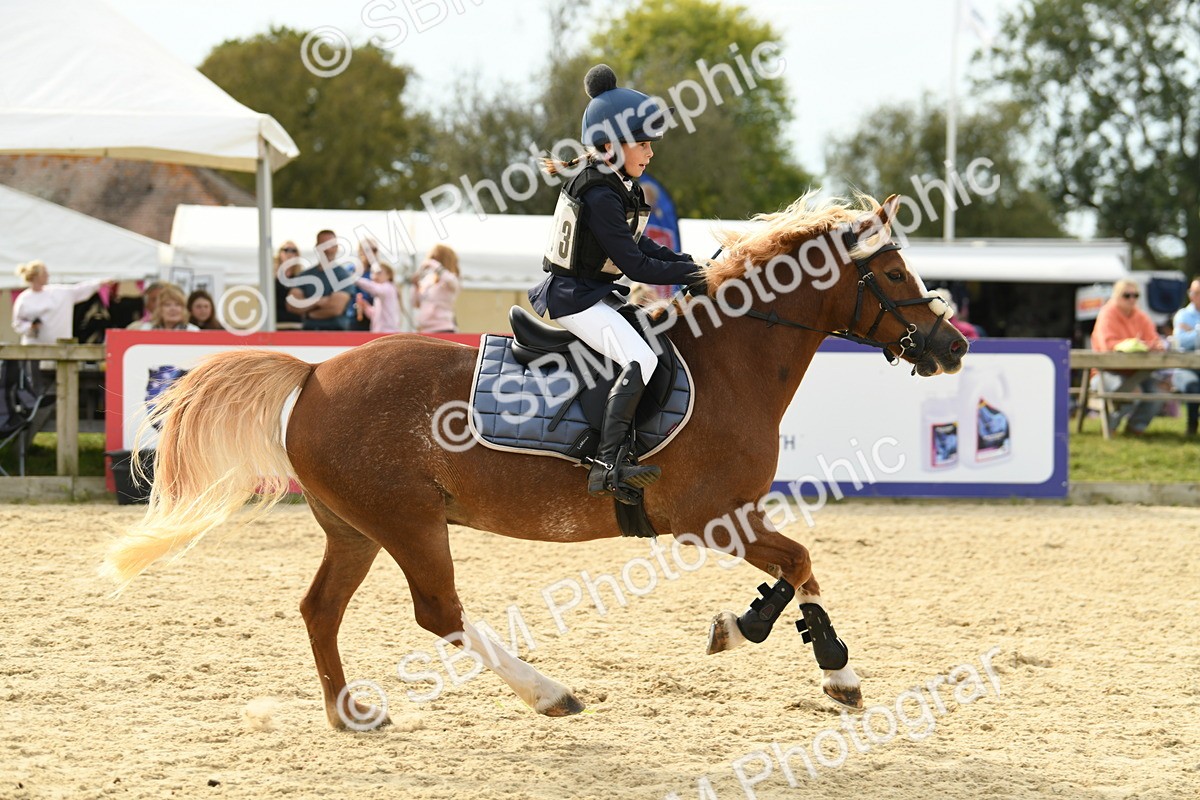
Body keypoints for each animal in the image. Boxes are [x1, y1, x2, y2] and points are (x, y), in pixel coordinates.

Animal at [102, 192, 969, 729]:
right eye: (895, 273)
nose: (954, 347)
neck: (730, 360)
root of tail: (315, 373)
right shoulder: (710, 519)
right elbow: (798, 564)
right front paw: (809, 658)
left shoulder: (737, 515)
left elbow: (799, 570)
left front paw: (771, 638)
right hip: (408, 523)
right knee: (438, 613)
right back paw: (550, 695)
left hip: (356, 529)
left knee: (321, 610)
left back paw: (351, 715)